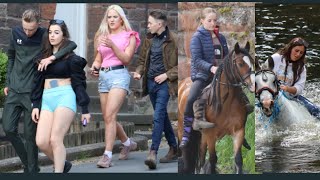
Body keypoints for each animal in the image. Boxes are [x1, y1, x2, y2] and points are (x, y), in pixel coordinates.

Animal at [178, 41, 255, 174]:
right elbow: (213, 159)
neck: (226, 104)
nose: (254, 85)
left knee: (201, 158)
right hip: (185, 131)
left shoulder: (239, 131)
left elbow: (238, 159)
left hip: (202, 136)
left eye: (252, 62)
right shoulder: (210, 134)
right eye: (240, 64)